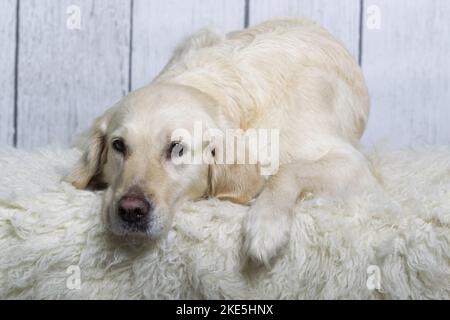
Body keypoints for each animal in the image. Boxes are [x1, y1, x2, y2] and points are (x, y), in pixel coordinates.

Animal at [66, 18, 376, 266]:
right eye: (119, 145)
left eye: (177, 148)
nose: (131, 210)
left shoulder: (355, 165)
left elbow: (288, 171)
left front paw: (266, 225)